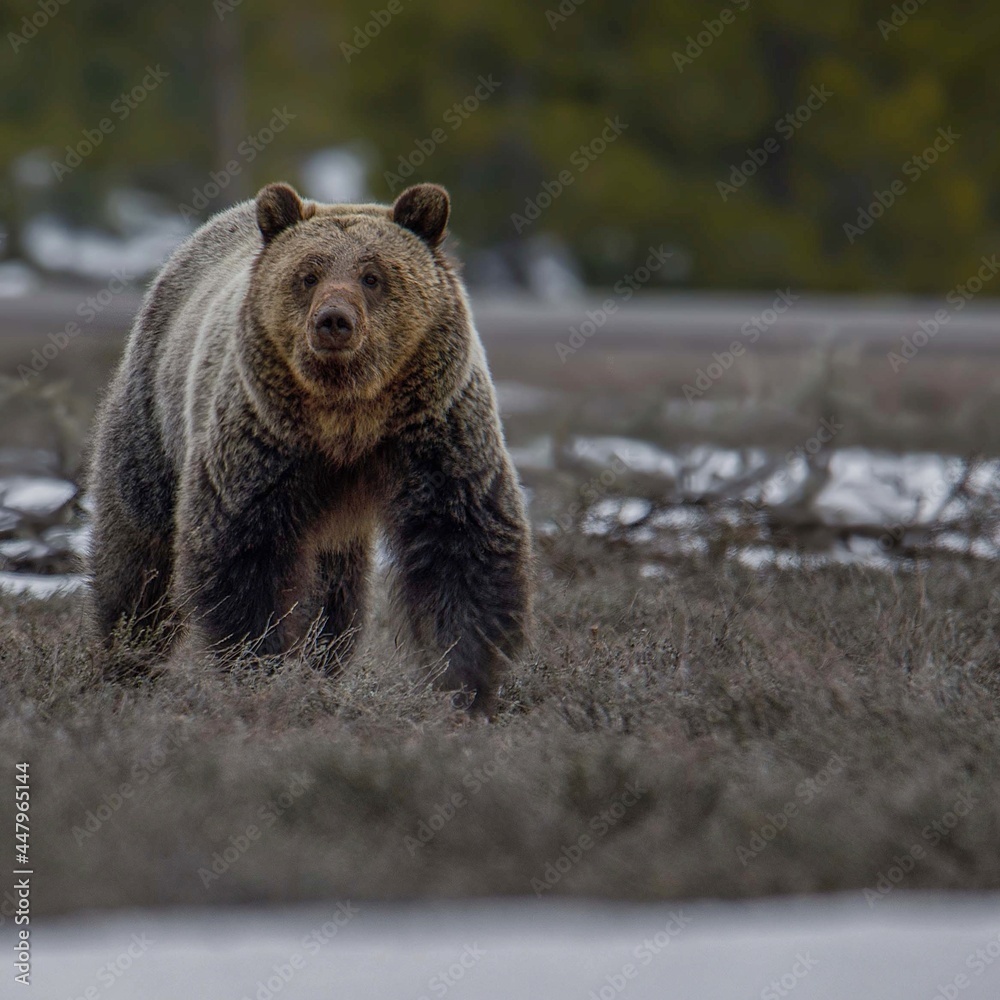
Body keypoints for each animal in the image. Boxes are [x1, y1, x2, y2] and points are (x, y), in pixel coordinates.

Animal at [87, 181, 533, 710]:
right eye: (308, 274)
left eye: (372, 275)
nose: (334, 320)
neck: (348, 414)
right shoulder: (264, 438)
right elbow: (244, 549)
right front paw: (261, 665)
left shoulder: (434, 429)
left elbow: (461, 543)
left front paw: (466, 681)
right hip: (155, 410)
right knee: (139, 547)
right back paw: (129, 653)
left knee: (335, 591)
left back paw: (323, 658)